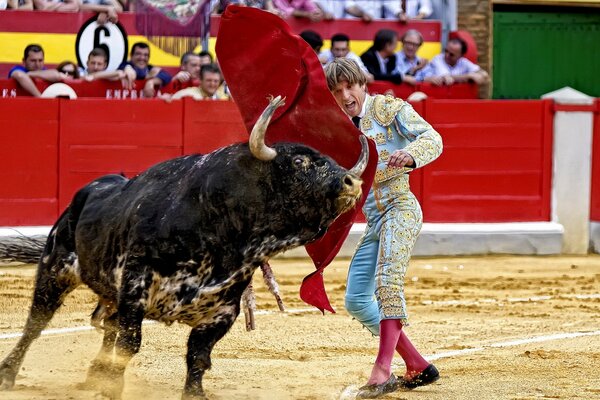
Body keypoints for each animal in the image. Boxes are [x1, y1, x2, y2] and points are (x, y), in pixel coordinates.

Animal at [0, 97, 368, 400]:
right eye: (301, 162)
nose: (352, 182)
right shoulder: (136, 283)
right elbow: (130, 343)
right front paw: (112, 388)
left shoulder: (223, 309)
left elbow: (197, 357)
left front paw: (193, 394)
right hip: (56, 267)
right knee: (37, 323)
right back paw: (9, 374)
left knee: (106, 325)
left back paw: (95, 373)